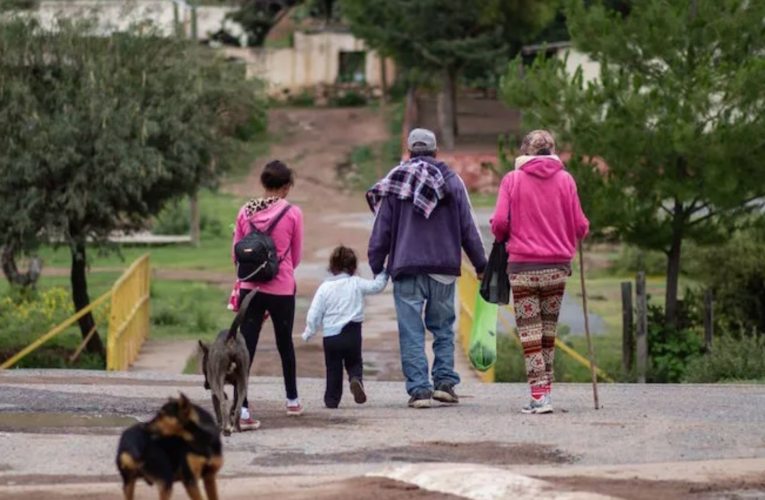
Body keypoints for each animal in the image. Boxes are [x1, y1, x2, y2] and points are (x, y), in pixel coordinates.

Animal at [198, 292, 255, 436]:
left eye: (203, 368)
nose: (205, 385)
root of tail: (231, 337)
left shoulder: (214, 389)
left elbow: (219, 407)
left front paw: (220, 425)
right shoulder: (236, 385)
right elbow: (234, 404)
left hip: (218, 381)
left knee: (223, 404)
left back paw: (226, 429)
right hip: (243, 381)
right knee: (239, 407)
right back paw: (237, 427)